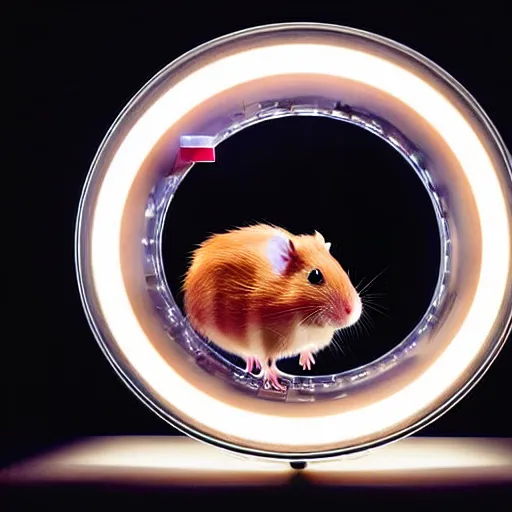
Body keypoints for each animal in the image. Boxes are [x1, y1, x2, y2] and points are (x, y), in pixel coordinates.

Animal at [182, 222, 362, 390]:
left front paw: (306, 364)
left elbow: (306, 349)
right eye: (315, 276)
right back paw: (252, 365)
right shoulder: (259, 340)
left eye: (339, 267)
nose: (353, 313)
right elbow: (267, 362)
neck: (304, 322)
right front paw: (277, 383)